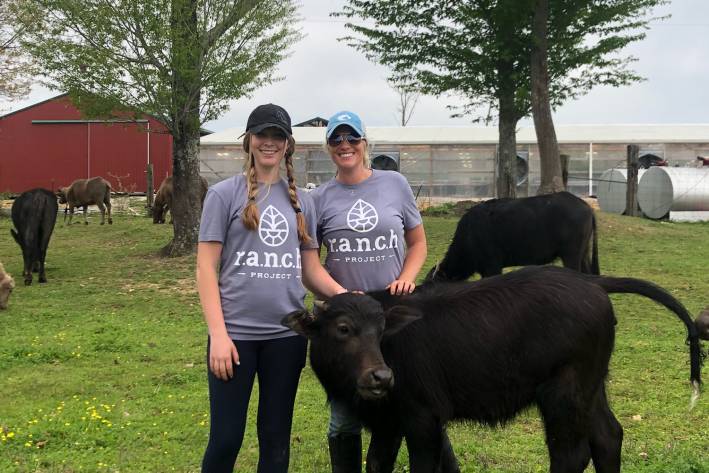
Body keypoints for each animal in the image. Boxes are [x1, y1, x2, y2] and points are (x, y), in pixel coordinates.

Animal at [284, 266, 704, 472]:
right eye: (343, 329)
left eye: (382, 328)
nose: (381, 377)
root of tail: (589, 281)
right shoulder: (388, 424)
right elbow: (376, 465)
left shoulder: (423, 418)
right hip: (591, 385)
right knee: (608, 437)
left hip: (563, 392)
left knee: (570, 454)